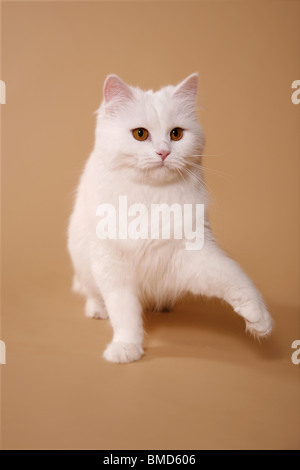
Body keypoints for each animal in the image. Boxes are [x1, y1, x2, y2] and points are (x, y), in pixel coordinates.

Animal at [67, 73, 272, 364]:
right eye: (140, 134)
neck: (152, 198)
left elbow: (233, 277)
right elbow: (124, 313)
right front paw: (126, 348)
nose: (164, 153)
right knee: (93, 294)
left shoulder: (191, 253)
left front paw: (259, 318)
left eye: (176, 134)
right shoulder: (113, 265)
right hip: (85, 265)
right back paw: (98, 310)